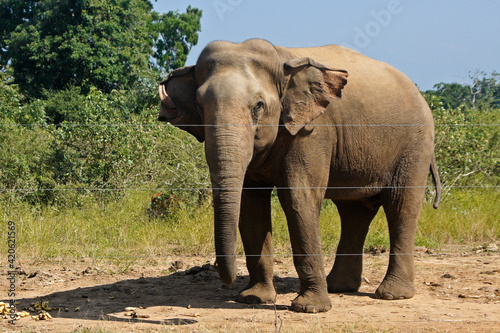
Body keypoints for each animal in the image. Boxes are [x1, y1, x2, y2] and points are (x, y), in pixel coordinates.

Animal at [157, 38, 442, 312]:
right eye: (200, 106)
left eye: (258, 106)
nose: (220, 273)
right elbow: (251, 207)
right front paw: (253, 299)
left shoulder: (312, 131)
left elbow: (298, 199)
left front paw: (310, 308)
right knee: (354, 211)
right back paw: (339, 287)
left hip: (415, 144)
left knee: (401, 206)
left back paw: (392, 294)